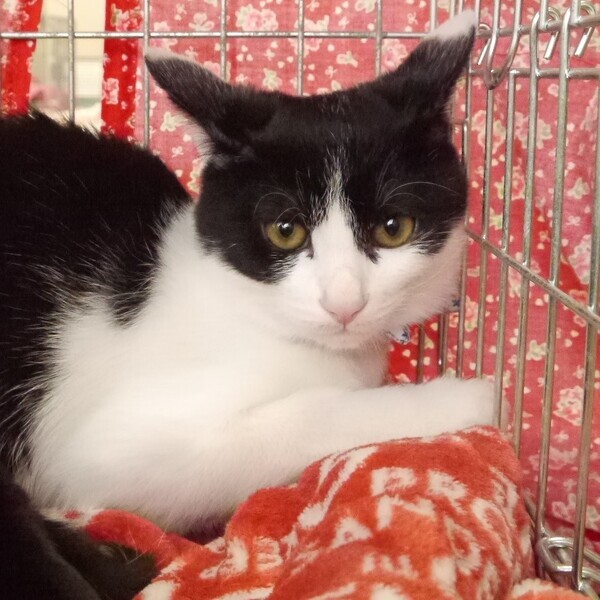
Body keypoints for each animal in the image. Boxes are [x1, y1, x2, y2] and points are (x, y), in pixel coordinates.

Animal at [0, 9, 494, 599]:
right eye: (285, 231)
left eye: (394, 228)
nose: (344, 303)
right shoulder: (101, 453)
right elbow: (302, 419)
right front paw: (461, 400)